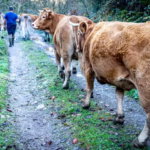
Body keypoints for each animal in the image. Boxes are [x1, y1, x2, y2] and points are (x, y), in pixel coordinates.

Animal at [70, 17, 150, 148]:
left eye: (78, 34)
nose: (77, 48)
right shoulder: (120, 78)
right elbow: (119, 96)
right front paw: (119, 117)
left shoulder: (88, 67)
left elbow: (89, 88)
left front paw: (86, 104)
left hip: (144, 87)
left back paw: (139, 141)